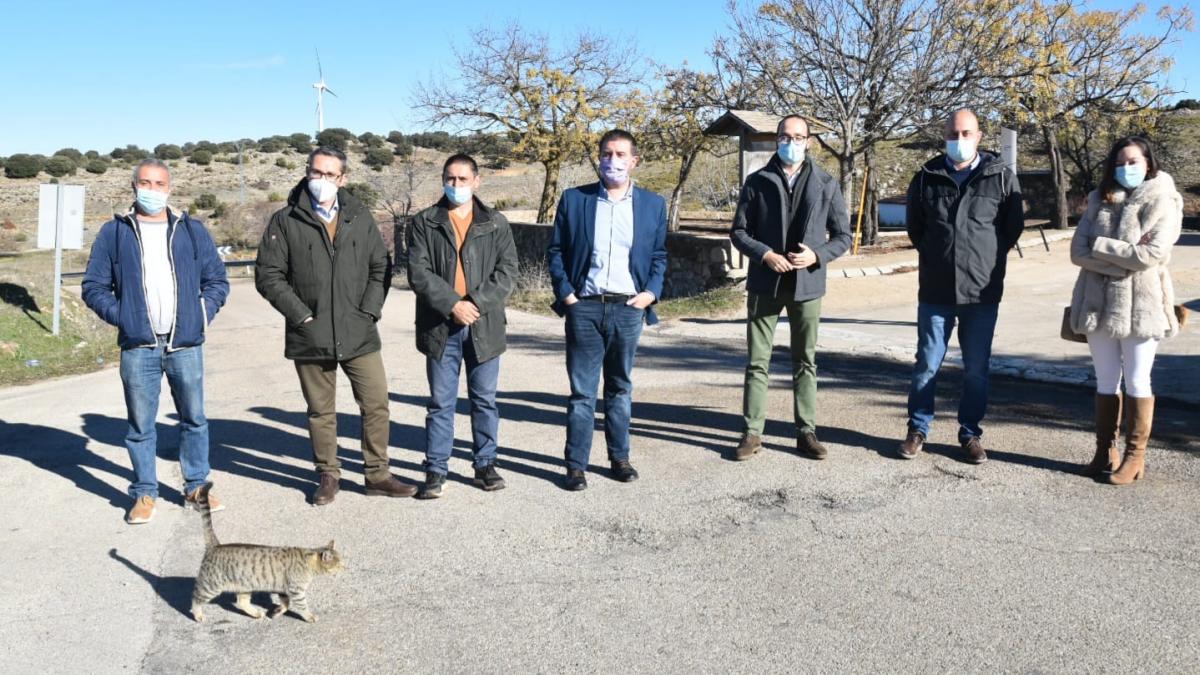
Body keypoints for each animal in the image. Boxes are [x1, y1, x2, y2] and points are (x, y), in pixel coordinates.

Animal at [189, 482, 345, 619]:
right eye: (338, 564)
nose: (345, 567)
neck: (308, 560)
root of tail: (215, 545)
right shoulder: (296, 591)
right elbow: (302, 606)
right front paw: (310, 617)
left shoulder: (283, 590)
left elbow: (286, 604)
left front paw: (277, 612)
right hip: (211, 586)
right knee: (196, 598)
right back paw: (198, 615)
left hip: (244, 586)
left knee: (242, 602)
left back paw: (256, 614)